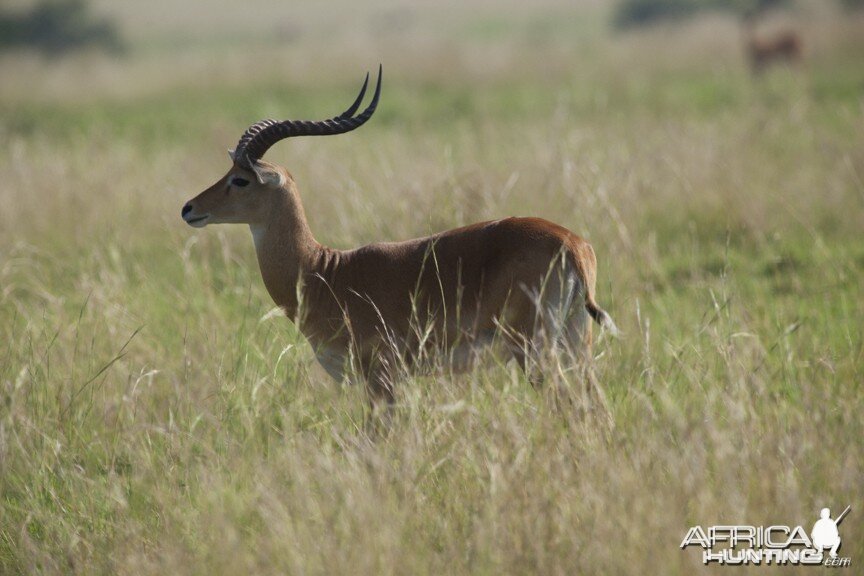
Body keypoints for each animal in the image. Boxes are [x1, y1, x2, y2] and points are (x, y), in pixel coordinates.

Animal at [181, 67, 616, 404]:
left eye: (240, 179)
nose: (189, 208)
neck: (324, 271)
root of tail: (572, 244)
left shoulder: (382, 378)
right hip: (575, 344)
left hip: (535, 351)